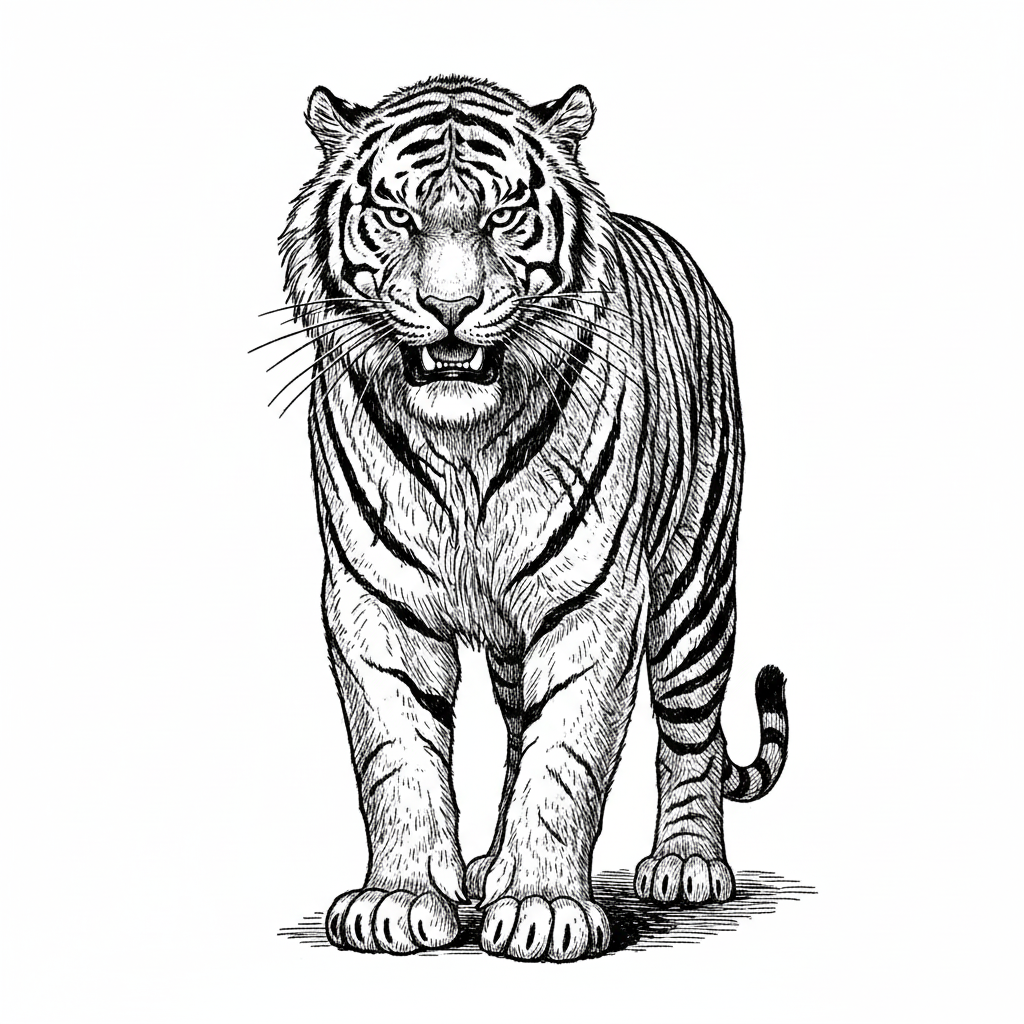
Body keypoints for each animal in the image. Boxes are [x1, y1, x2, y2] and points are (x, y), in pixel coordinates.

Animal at [274, 74, 789, 962]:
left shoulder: (596, 599)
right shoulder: (375, 600)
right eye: (397, 215)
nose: (451, 307)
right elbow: (397, 756)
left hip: (695, 586)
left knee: (692, 732)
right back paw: (486, 867)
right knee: (518, 725)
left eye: (504, 215)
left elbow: (567, 760)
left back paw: (686, 865)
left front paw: (545, 909)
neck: (463, 442)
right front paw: (399, 900)